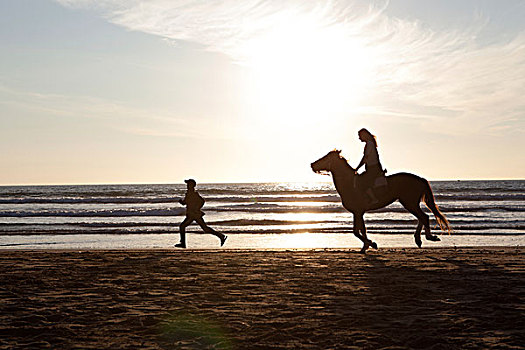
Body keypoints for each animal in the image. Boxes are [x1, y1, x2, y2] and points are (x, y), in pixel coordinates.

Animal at [312, 149, 450, 253]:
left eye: (326, 157)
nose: (312, 164)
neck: (350, 184)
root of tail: (420, 178)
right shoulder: (358, 212)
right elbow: (361, 230)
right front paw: (366, 246)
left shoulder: (358, 211)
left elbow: (356, 231)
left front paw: (371, 244)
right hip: (410, 203)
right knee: (422, 217)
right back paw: (418, 239)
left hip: (409, 202)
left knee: (424, 217)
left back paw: (429, 237)